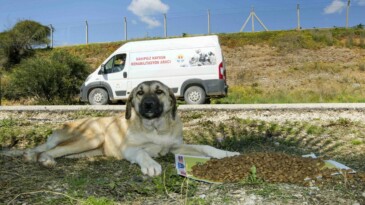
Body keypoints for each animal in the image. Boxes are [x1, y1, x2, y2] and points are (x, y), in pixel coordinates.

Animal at [1, 81, 239, 177]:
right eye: (140, 93)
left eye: (159, 92)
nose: (148, 105)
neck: (156, 129)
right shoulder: (130, 149)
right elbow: (143, 153)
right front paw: (150, 165)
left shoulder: (176, 148)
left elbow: (206, 147)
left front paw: (225, 153)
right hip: (91, 137)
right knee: (48, 150)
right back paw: (44, 159)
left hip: (88, 148)